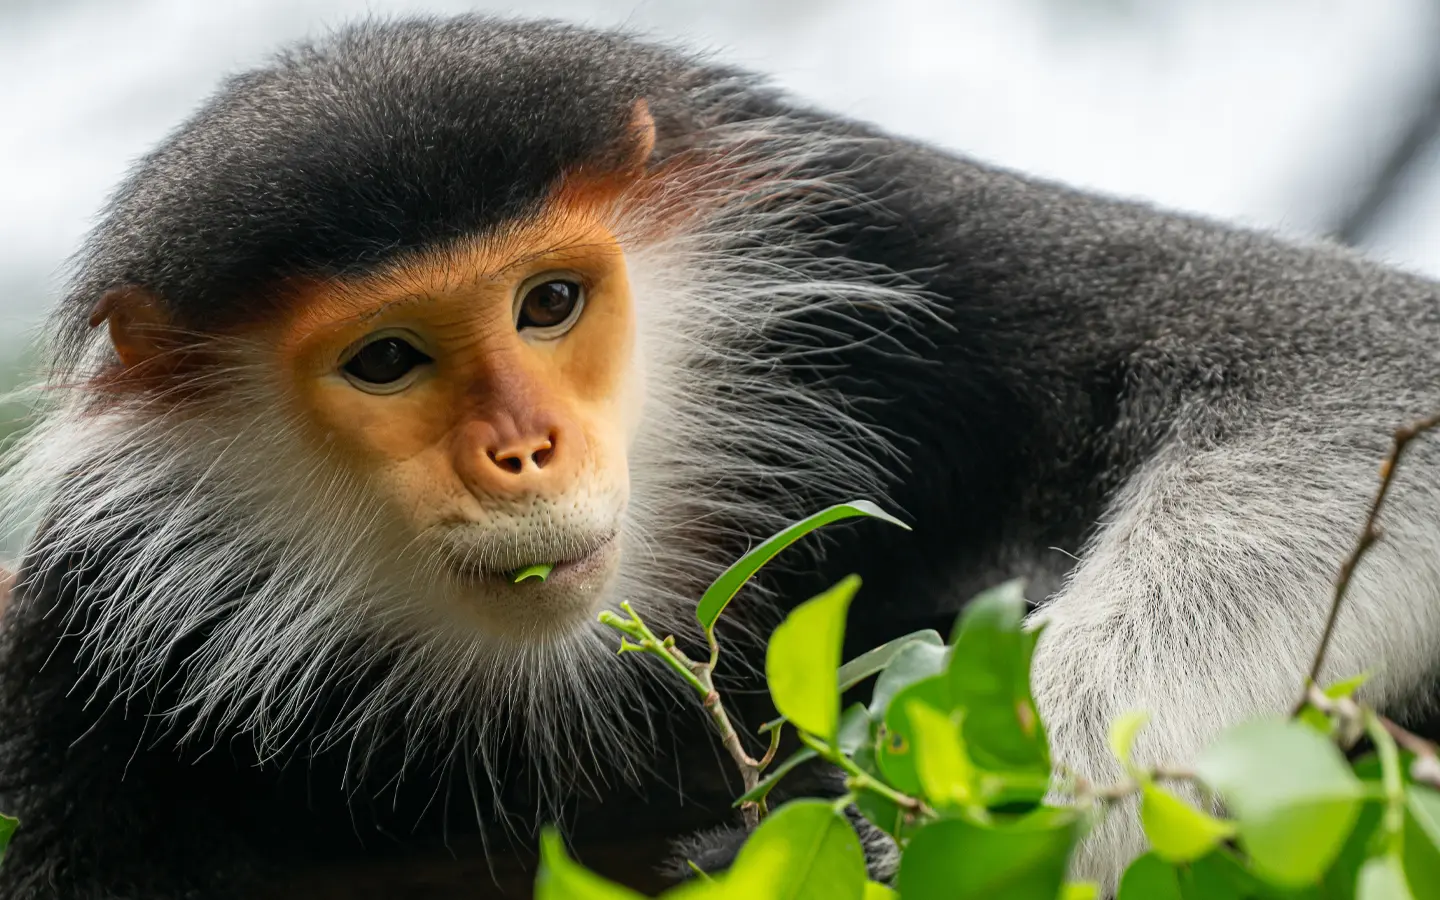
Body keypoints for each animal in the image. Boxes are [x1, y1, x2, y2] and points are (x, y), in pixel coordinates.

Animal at [1, 13, 1439, 899]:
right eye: (388, 362)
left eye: (548, 304)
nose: (523, 449)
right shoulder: (78, 650)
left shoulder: (870, 218)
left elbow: (1346, 366)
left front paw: (1004, 807)